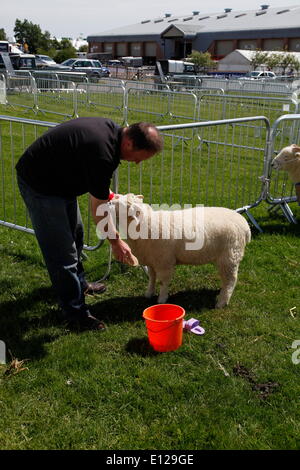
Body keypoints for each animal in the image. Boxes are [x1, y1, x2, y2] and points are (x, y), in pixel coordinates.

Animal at [108, 194, 251, 308]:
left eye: (120, 204)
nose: (108, 202)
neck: (145, 224)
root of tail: (245, 225)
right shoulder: (152, 260)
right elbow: (152, 278)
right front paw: (149, 293)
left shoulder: (164, 261)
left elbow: (163, 281)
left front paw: (162, 299)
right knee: (227, 280)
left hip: (230, 256)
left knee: (231, 280)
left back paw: (222, 302)